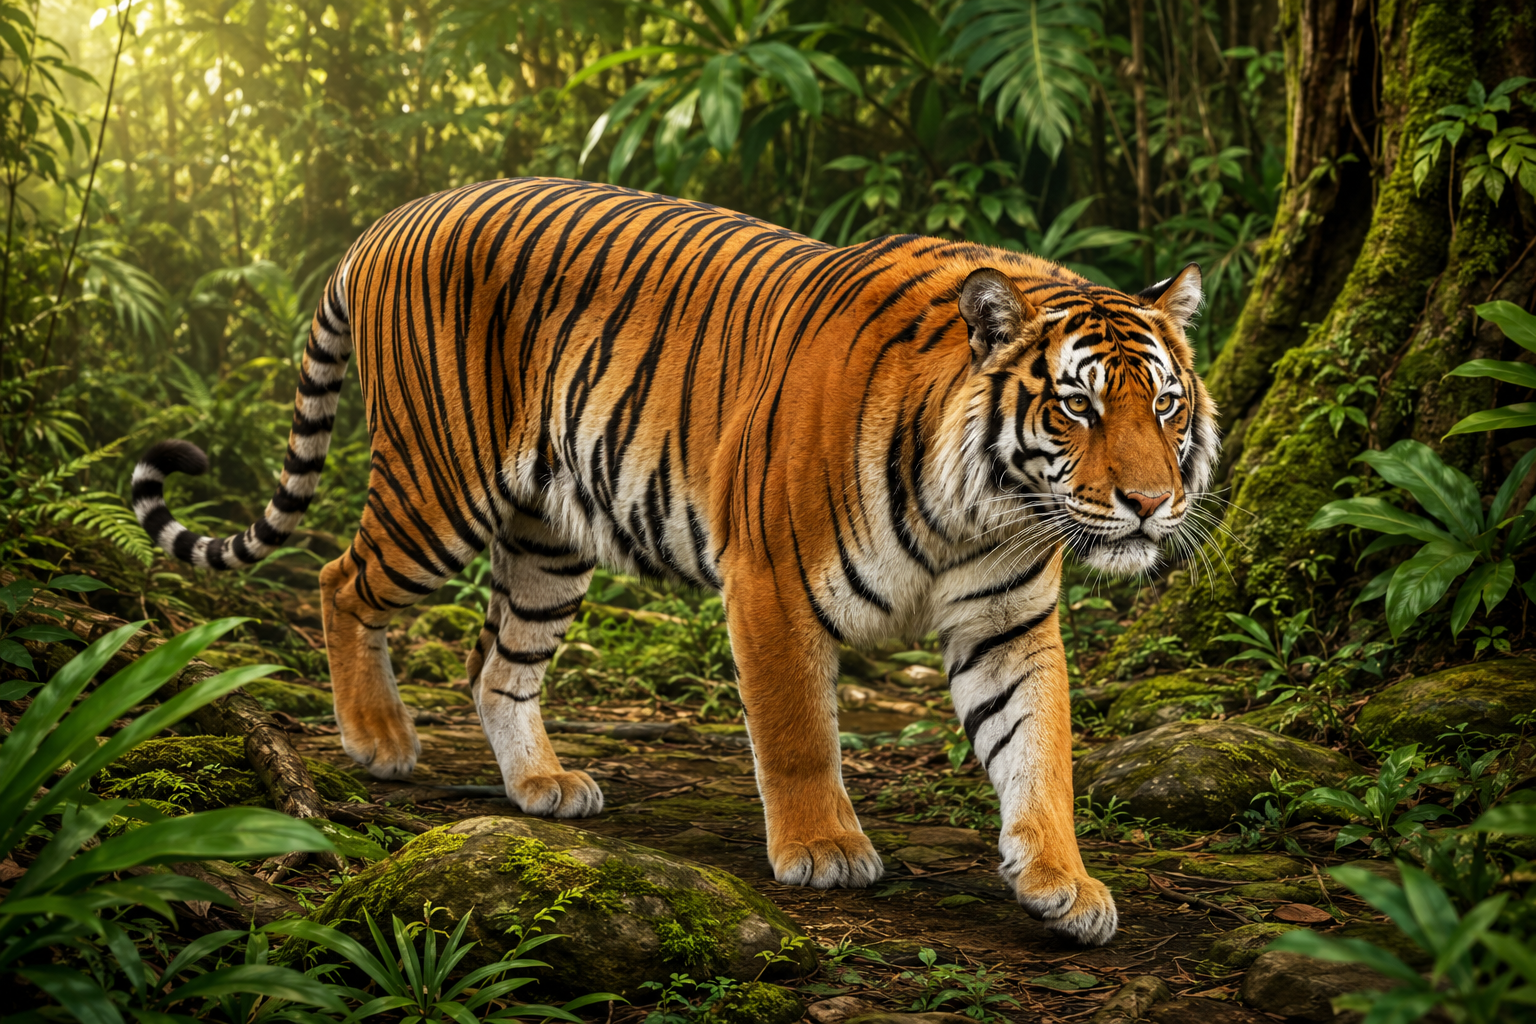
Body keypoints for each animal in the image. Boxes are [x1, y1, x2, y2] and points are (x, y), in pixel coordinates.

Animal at [132, 177, 1218, 946]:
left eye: (1165, 407)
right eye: (1077, 406)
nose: (1150, 502)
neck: (980, 512)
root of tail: (391, 218)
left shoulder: (1008, 622)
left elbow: (1039, 751)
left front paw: (1064, 884)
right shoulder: (772, 582)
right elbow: (796, 733)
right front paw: (823, 849)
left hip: (549, 540)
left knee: (497, 666)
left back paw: (542, 786)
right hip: (438, 487)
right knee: (339, 582)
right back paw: (378, 741)